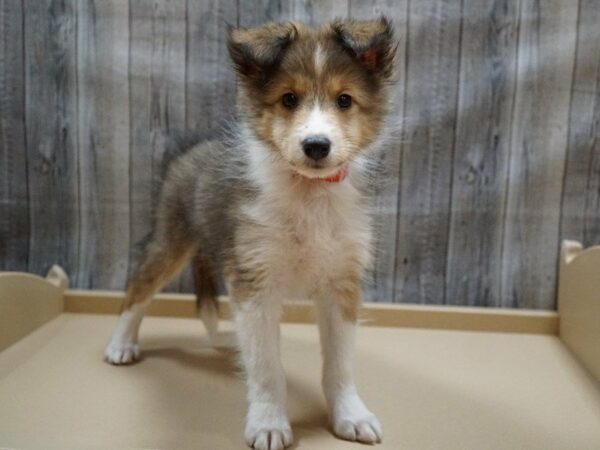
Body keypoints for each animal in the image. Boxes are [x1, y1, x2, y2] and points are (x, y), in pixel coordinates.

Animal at [105, 16, 396, 450]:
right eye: (289, 99)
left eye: (344, 100)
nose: (316, 146)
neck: (308, 195)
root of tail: (192, 151)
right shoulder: (255, 283)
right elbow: (266, 367)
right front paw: (269, 423)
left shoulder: (341, 283)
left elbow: (340, 364)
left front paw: (350, 416)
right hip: (170, 239)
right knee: (138, 288)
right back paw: (121, 344)